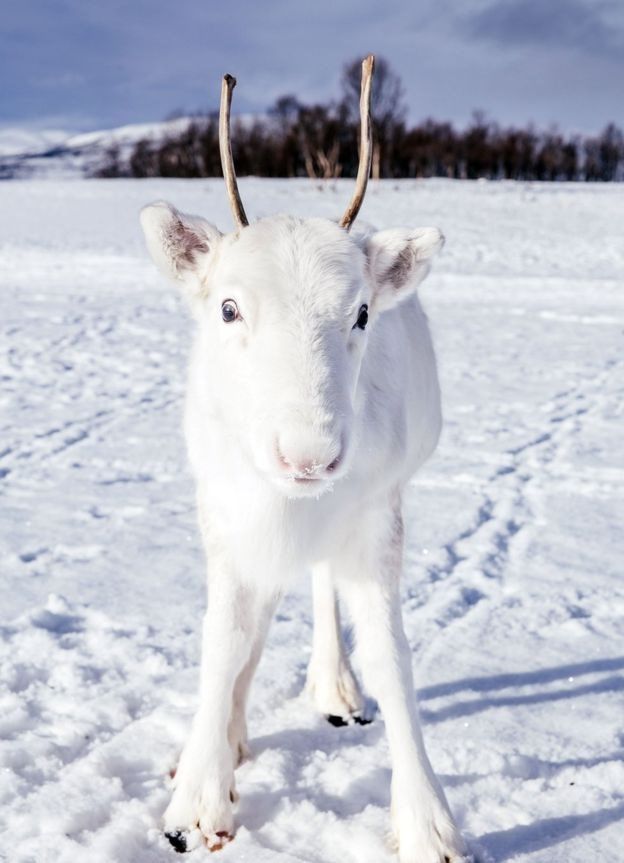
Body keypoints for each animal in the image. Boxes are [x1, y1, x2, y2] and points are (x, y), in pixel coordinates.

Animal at [140, 56, 469, 863]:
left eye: (361, 313)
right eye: (228, 307)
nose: (310, 455)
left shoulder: (376, 516)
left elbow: (390, 653)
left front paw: (428, 822)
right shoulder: (226, 513)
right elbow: (225, 637)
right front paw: (199, 793)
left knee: (320, 590)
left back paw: (333, 688)